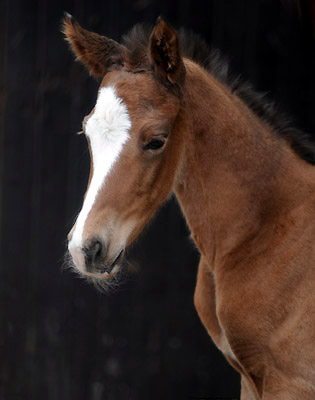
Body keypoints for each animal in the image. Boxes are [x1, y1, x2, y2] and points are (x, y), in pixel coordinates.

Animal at [63, 14, 315, 398]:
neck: (264, 230)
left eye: (156, 141)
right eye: (86, 133)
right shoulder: (249, 379)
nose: (85, 249)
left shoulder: (291, 381)